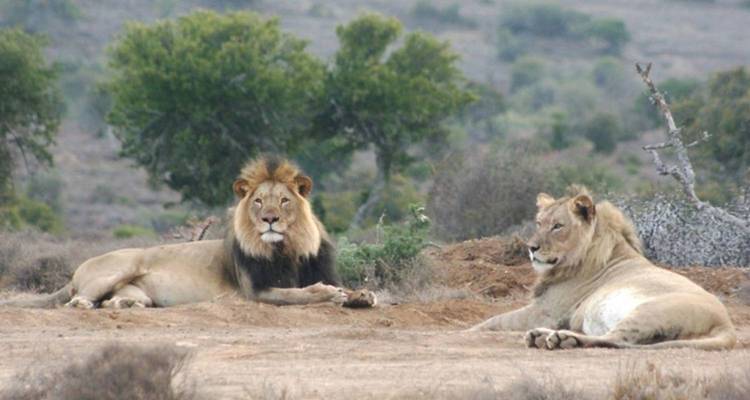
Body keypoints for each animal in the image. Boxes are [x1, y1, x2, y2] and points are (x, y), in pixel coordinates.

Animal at [1, 157, 376, 309]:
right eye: (258, 201)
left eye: (284, 200)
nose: (270, 219)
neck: (287, 248)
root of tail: (78, 269)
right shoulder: (254, 291)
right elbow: (296, 294)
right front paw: (326, 293)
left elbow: (348, 288)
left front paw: (361, 295)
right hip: (119, 267)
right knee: (78, 300)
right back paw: (90, 303)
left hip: (135, 289)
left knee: (118, 300)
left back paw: (125, 303)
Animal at [469, 186, 736, 350]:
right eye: (539, 223)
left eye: (558, 226)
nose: (531, 247)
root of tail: (726, 323)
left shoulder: (546, 311)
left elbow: (493, 321)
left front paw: (467, 331)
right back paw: (541, 336)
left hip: (649, 310)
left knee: (618, 340)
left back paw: (563, 339)